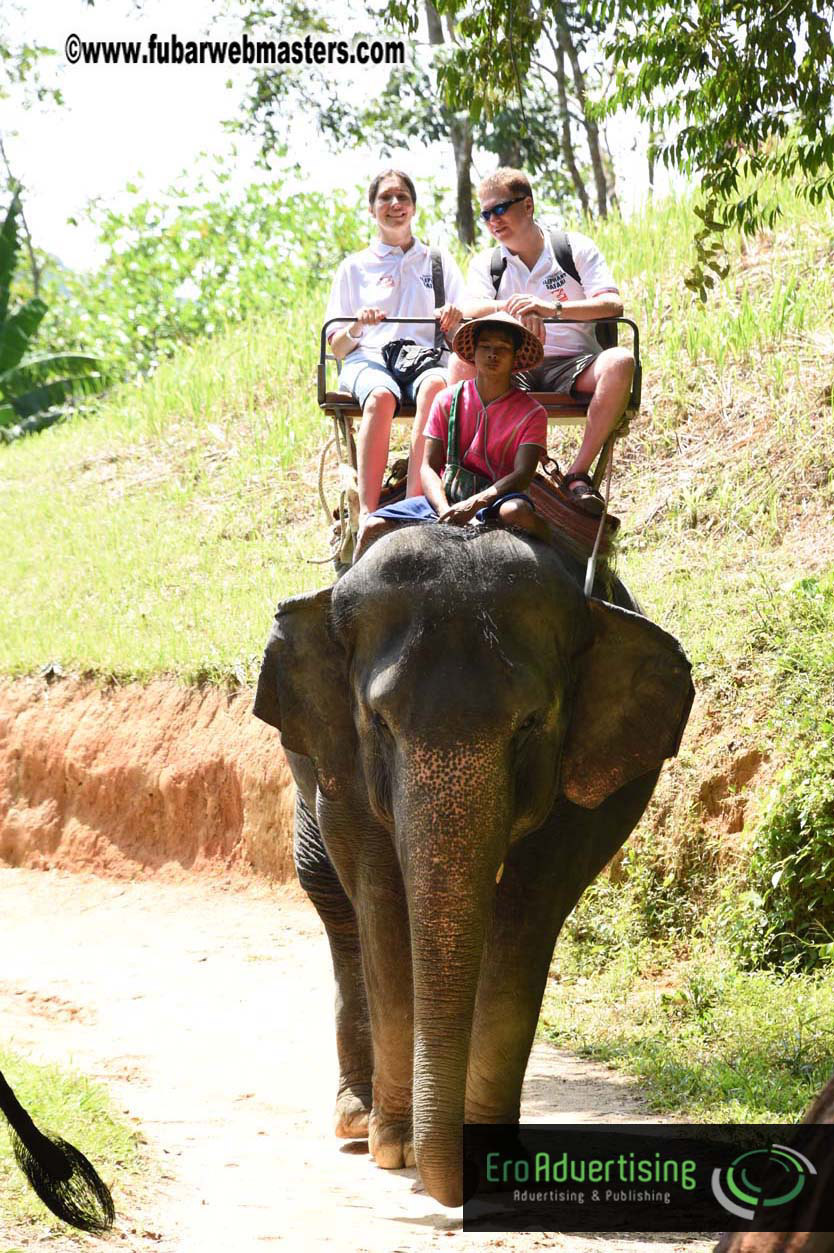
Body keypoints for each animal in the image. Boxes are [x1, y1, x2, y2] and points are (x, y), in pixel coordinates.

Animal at [254, 522, 694, 1208]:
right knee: (330, 894)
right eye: (379, 722)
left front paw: (490, 1158)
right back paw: (356, 1119)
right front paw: (394, 1148)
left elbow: (530, 910)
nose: (446, 1185)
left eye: (532, 723)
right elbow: (381, 899)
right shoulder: (344, 762)